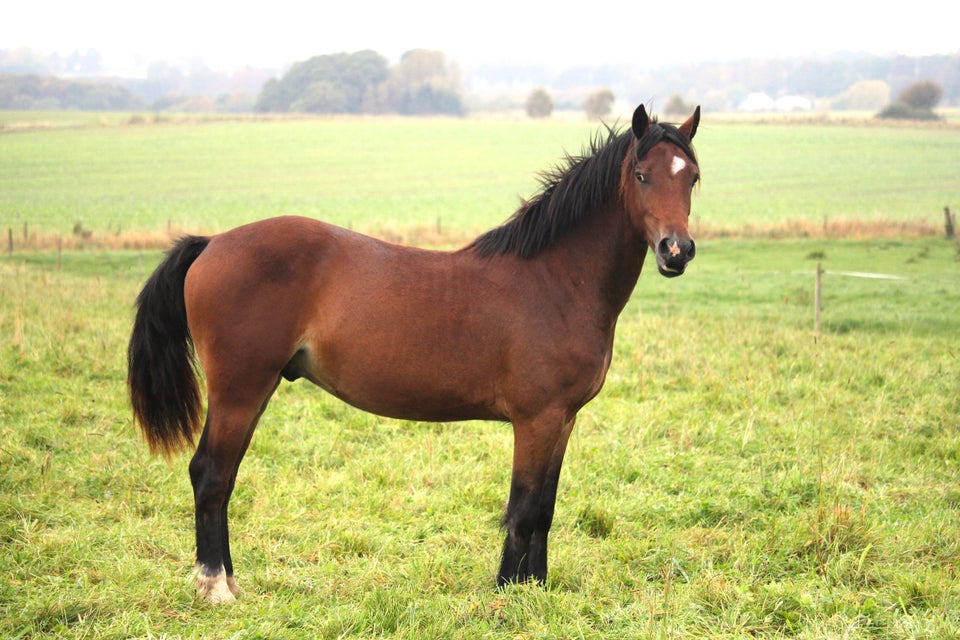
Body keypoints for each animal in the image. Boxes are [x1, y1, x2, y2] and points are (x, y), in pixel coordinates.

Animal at [125, 105, 696, 604]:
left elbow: (546, 507)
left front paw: (535, 586)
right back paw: (215, 587)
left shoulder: (564, 420)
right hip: (239, 391)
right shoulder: (537, 419)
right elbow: (525, 508)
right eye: (642, 176)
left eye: (691, 177)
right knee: (211, 475)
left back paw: (229, 581)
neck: (555, 279)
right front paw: (509, 591)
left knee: (222, 477)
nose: (677, 251)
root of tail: (213, 242)